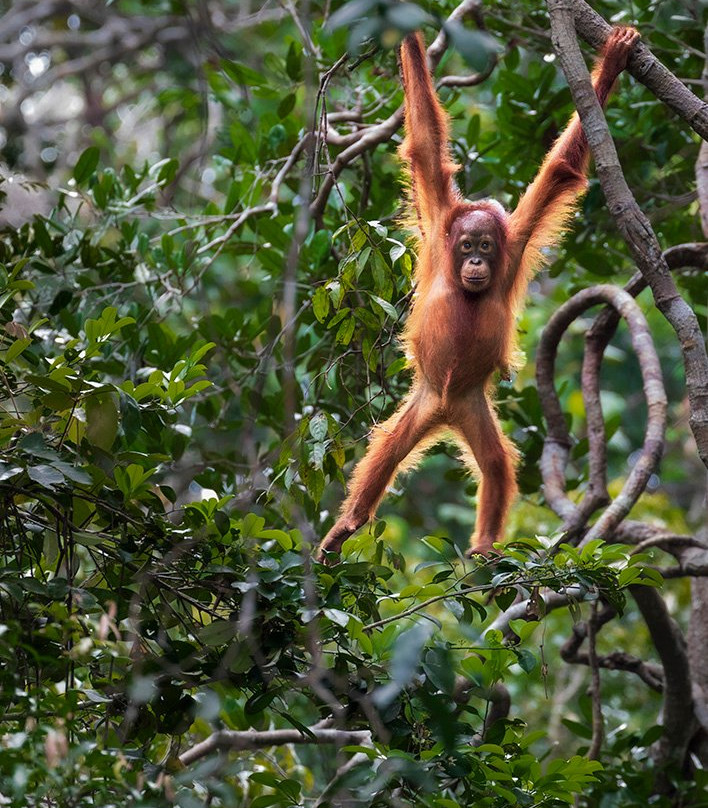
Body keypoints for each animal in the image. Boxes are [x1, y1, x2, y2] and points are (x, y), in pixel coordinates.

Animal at [318, 26, 640, 559]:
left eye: (486, 247)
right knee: (387, 451)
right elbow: (426, 145)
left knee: (495, 465)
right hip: (426, 397)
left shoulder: (515, 245)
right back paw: (349, 523)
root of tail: (446, 409)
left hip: (471, 405)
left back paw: (486, 544)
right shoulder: (438, 229)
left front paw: (612, 61)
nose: (473, 262)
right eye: (466, 245)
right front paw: (408, 34)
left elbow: (559, 172)